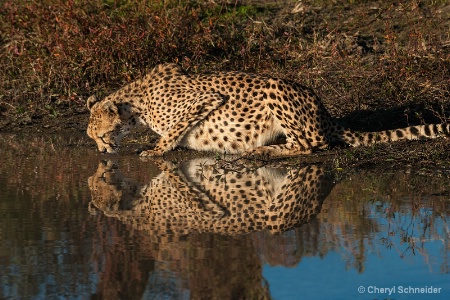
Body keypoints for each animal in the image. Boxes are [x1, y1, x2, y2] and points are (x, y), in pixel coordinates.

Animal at [86, 63, 448, 157]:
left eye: (101, 136)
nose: (103, 151)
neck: (136, 104)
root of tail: (324, 110)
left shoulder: (205, 100)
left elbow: (172, 131)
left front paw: (153, 151)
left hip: (275, 87)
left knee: (312, 145)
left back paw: (266, 151)